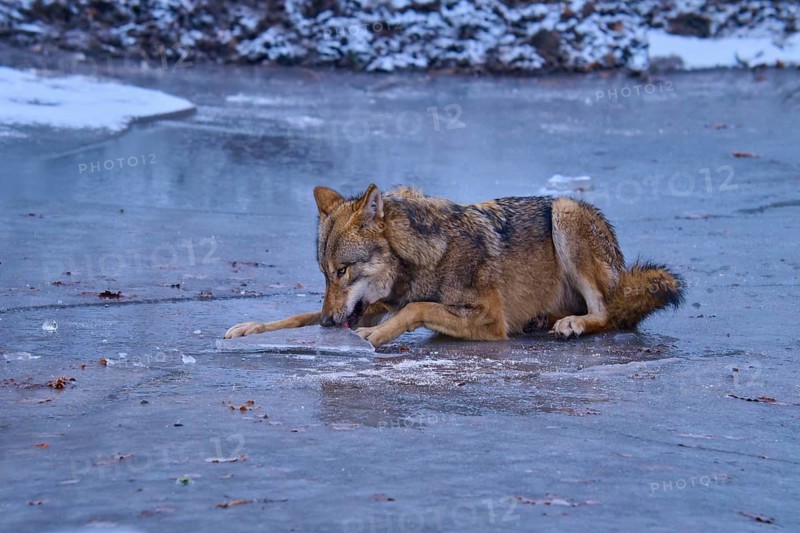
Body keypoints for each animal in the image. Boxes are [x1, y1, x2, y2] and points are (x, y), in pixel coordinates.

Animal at [224, 184, 684, 347]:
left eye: (343, 271)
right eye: (324, 274)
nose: (327, 323)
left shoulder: (491, 320)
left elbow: (417, 307)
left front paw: (375, 336)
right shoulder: (370, 305)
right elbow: (294, 315)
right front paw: (250, 327)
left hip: (565, 212)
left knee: (606, 314)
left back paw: (571, 324)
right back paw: (545, 320)